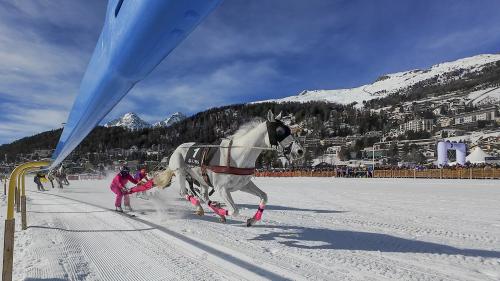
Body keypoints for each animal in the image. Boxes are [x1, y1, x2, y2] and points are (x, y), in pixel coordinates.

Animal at [158, 109, 302, 225]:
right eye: (279, 131)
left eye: (289, 129)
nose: (299, 151)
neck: (237, 155)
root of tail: (178, 148)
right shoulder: (222, 189)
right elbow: (234, 211)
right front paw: (226, 213)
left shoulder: (243, 184)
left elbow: (264, 196)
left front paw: (252, 220)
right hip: (181, 173)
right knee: (184, 193)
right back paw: (200, 207)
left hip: (201, 179)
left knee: (204, 196)